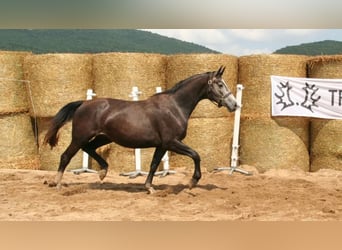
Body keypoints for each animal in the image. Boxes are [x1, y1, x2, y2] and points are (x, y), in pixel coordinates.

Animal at [44, 66, 238, 193]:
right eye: (220, 84)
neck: (175, 107)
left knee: (89, 148)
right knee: (65, 156)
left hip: (103, 137)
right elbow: (196, 155)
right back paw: (57, 183)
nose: (235, 104)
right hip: (80, 137)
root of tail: (83, 103)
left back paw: (102, 172)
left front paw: (149, 187)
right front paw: (192, 182)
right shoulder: (172, 142)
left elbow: (153, 164)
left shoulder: (162, 145)